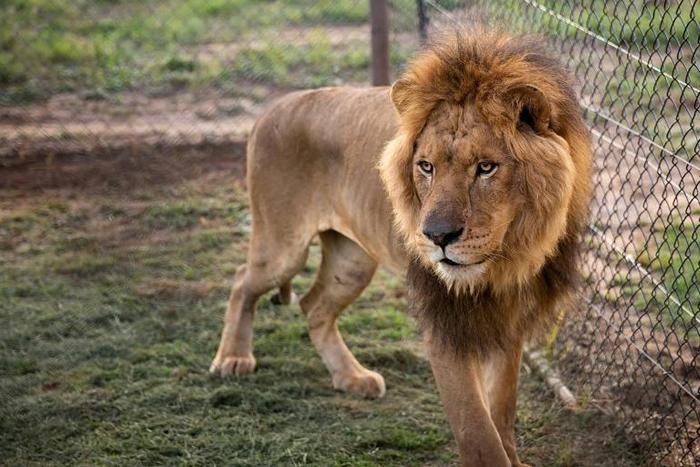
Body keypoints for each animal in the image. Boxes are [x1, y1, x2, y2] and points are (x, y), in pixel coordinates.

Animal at [210, 30, 592, 466]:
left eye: (486, 167)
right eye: (425, 166)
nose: (436, 236)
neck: (506, 258)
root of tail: (269, 110)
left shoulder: (507, 319)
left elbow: (503, 413)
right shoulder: (445, 319)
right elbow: (478, 430)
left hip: (352, 260)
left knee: (313, 305)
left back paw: (351, 376)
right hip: (283, 245)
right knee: (243, 280)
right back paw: (233, 358)